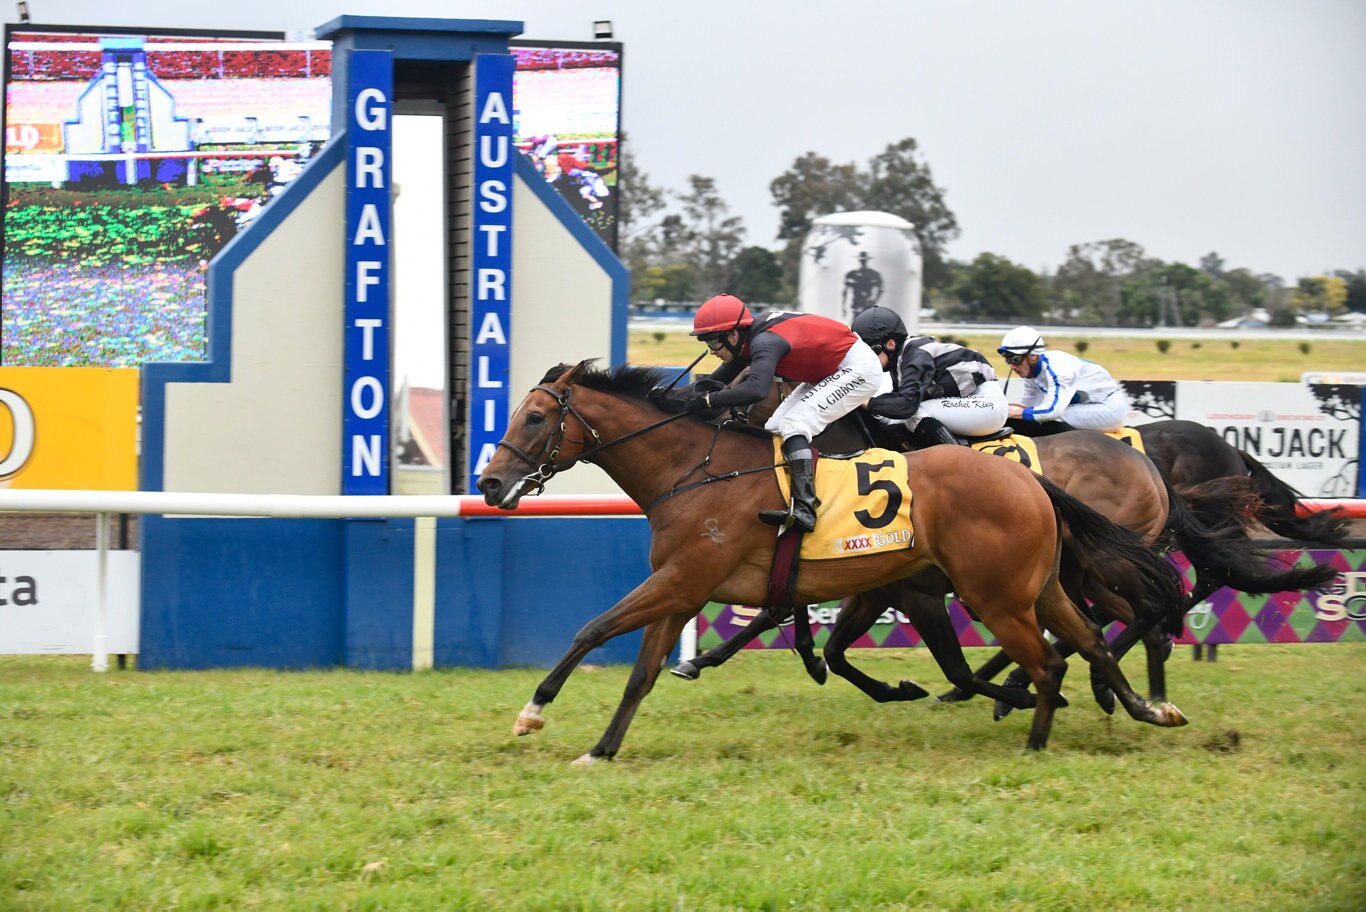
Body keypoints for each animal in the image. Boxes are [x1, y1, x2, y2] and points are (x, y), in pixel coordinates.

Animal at [478, 363, 1185, 764]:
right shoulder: (684, 589)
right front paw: (602, 749)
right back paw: (1145, 707)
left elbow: (592, 629)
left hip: (1000, 596)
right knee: (1089, 639)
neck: (695, 470)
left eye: (535, 416)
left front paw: (533, 711)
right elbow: (640, 675)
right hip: (1041, 588)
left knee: (1055, 658)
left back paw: (1038, 734)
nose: (489, 482)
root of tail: (1029, 482)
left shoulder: (683, 580)